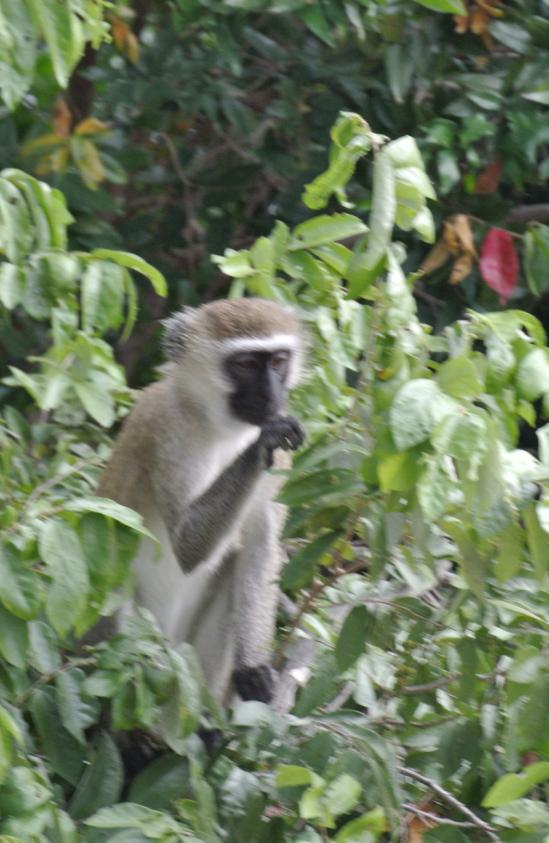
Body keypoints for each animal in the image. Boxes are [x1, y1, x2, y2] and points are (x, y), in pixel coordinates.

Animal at [98, 296, 304, 704]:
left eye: (277, 362)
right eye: (245, 364)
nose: (271, 395)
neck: (224, 427)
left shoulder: (283, 461)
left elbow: (262, 544)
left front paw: (252, 670)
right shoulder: (166, 426)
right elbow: (186, 546)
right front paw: (262, 442)